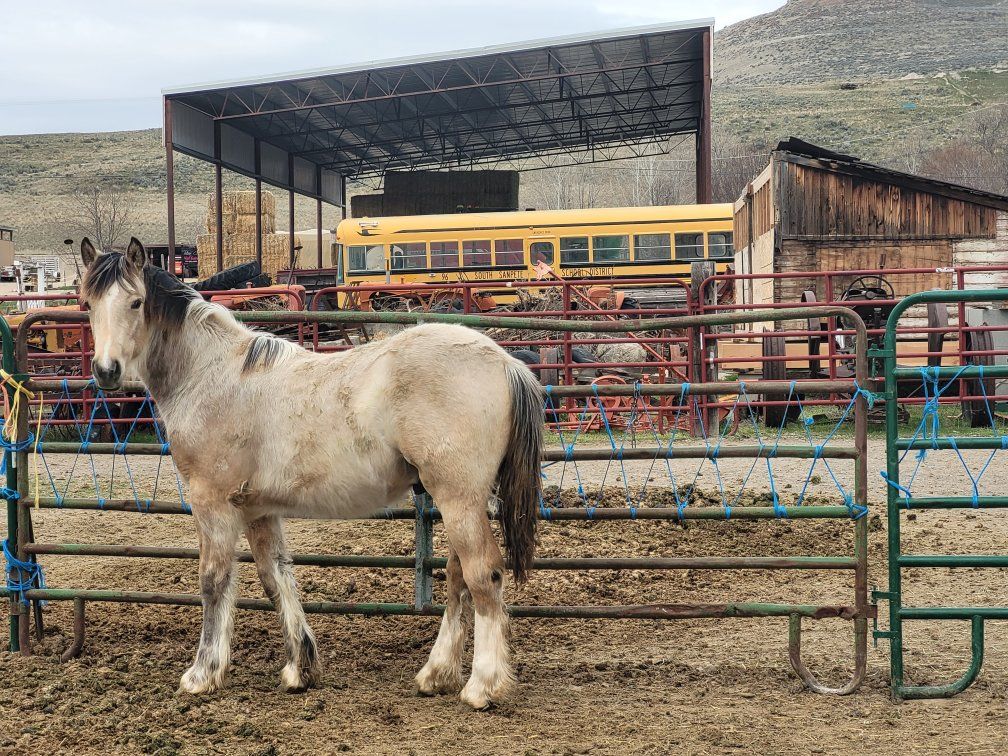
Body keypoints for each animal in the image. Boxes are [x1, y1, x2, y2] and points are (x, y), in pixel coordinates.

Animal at [78, 237, 543, 710]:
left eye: (136, 302)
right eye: (88, 303)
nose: (106, 371)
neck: (211, 377)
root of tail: (506, 362)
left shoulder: (212, 503)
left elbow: (213, 580)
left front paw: (202, 673)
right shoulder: (258, 510)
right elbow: (276, 578)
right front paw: (300, 667)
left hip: (457, 497)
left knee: (483, 574)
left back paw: (482, 685)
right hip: (457, 502)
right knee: (458, 578)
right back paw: (436, 674)